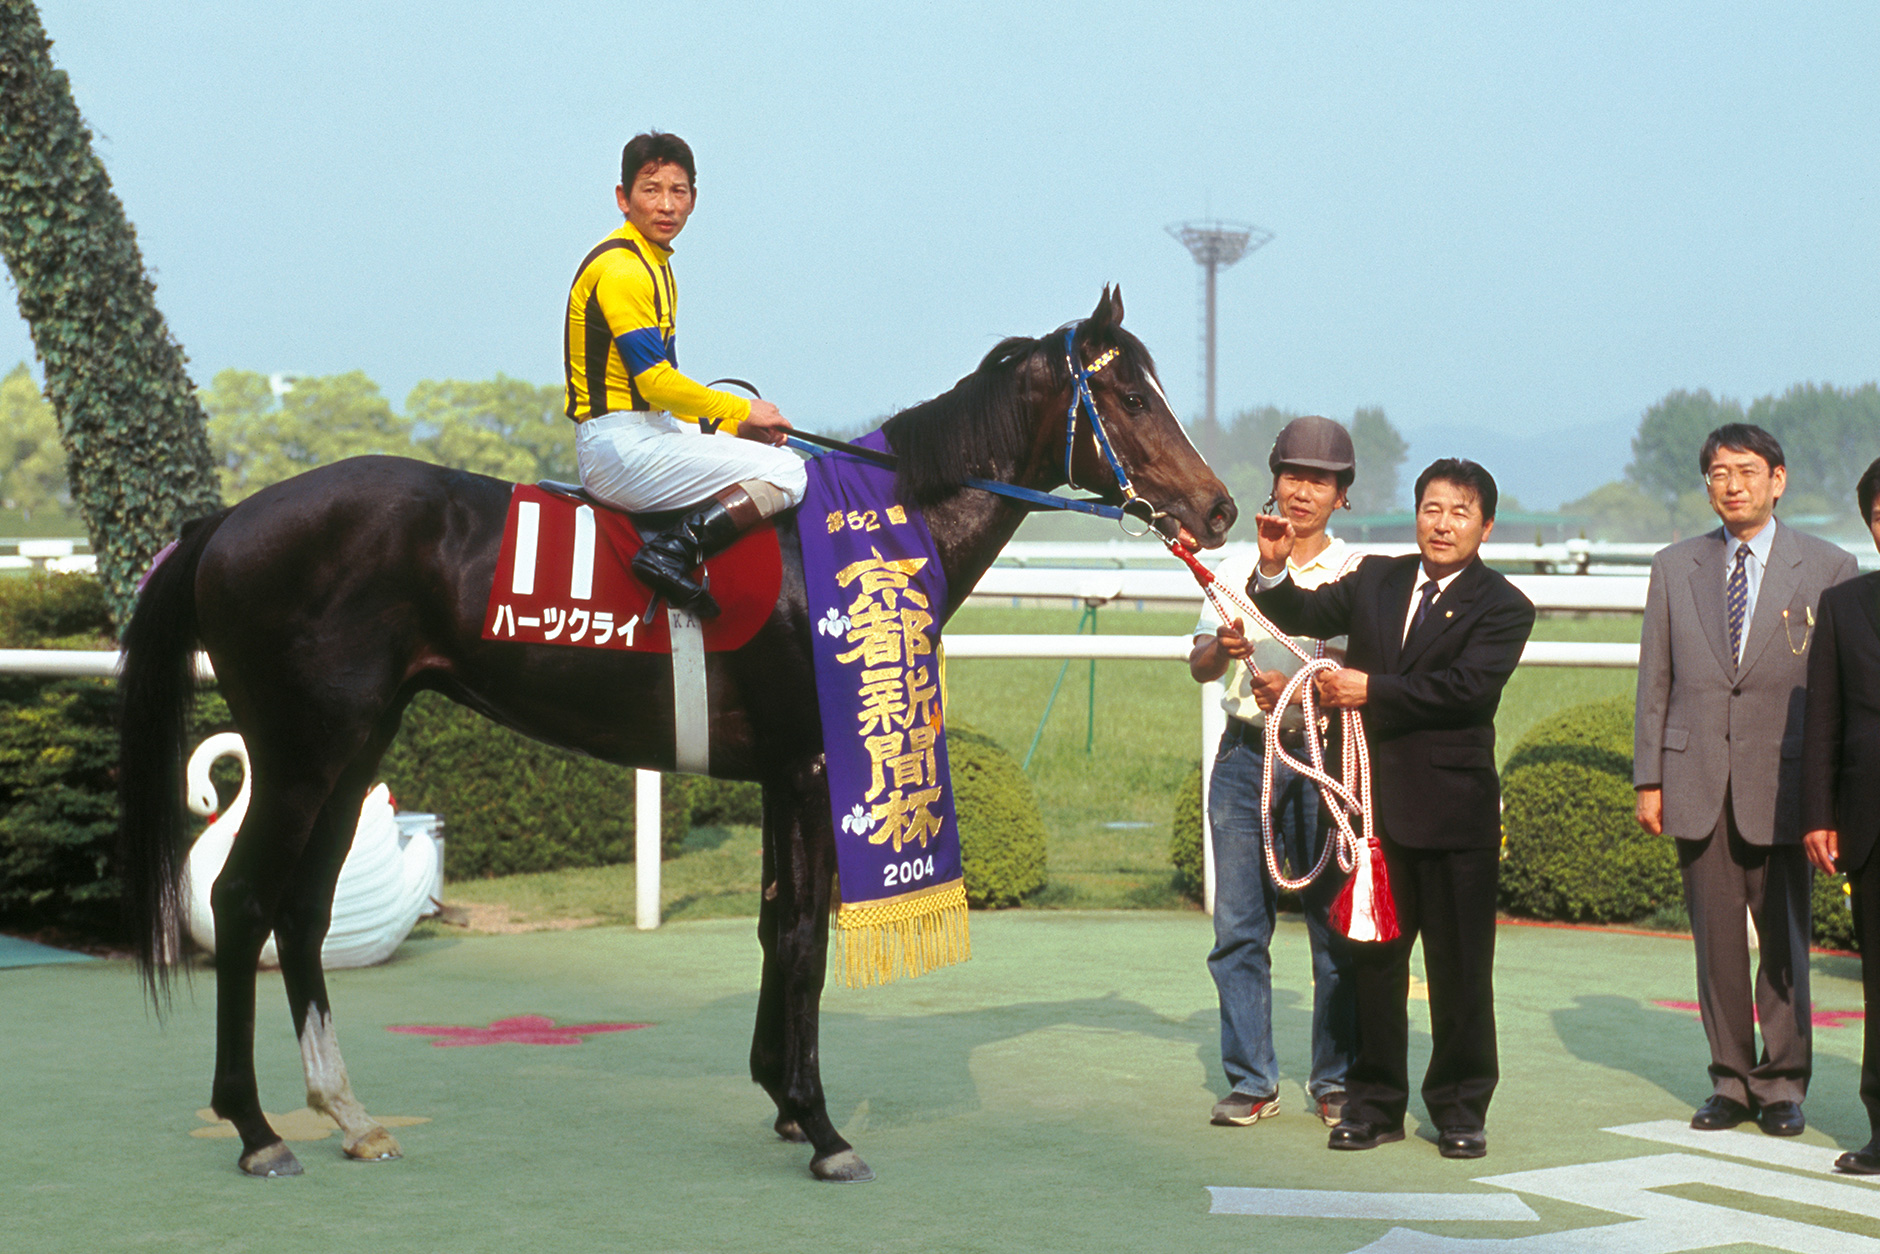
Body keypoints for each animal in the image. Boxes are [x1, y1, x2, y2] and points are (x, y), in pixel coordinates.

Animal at [116, 286, 1235, 1182]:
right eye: (1131, 398)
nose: (1219, 506)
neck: (860, 534)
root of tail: (227, 522)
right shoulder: (813, 764)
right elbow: (803, 936)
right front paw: (822, 1128)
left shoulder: (780, 774)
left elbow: (775, 926)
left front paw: (780, 1097)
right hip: (303, 750)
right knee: (243, 899)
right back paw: (258, 1131)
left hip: (356, 748)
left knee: (302, 914)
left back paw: (349, 1116)